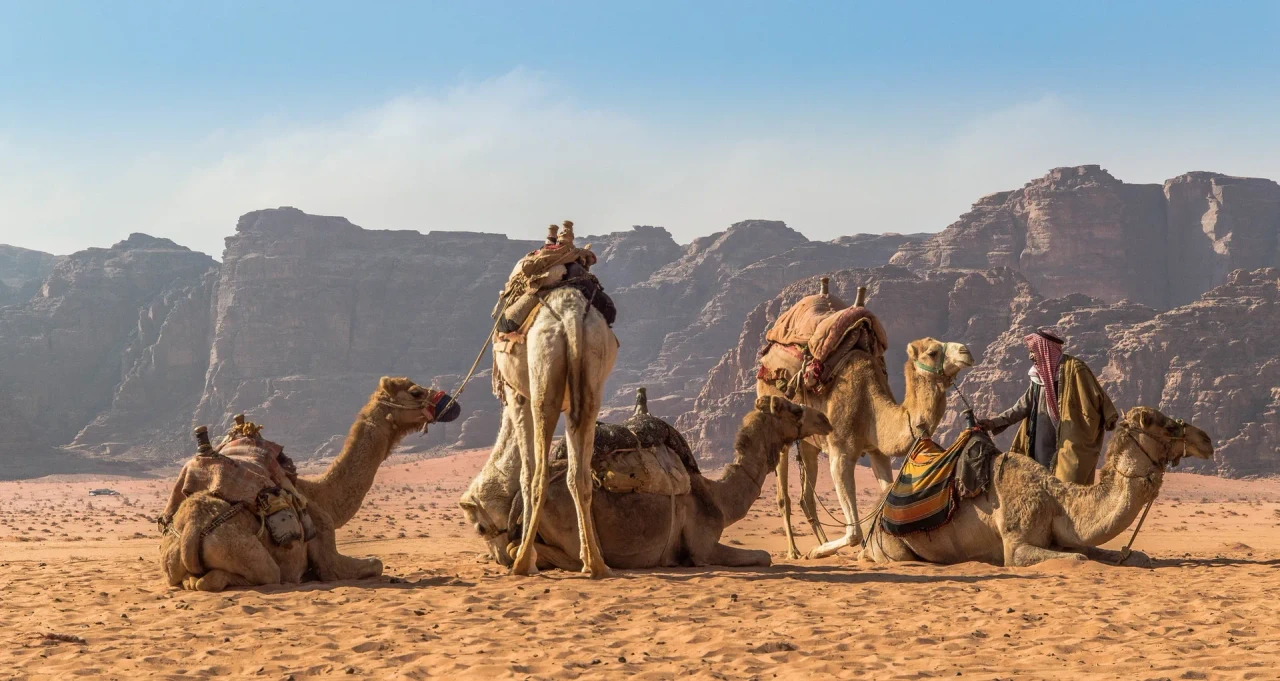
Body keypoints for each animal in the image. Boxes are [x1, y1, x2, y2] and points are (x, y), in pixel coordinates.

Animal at [160, 377, 447, 591]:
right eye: (416, 392)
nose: (446, 401)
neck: (319, 495)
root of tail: (192, 528)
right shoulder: (325, 539)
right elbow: (374, 563)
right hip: (246, 554)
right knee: (236, 578)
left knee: (189, 580)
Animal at [493, 285, 618, 578]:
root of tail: (570, 315)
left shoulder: (517, 395)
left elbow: (525, 475)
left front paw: (529, 559)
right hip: (591, 385)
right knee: (580, 478)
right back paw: (595, 563)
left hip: (543, 384)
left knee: (540, 475)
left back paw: (522, 562)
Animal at [759, 338, 974, 559]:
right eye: (932, 352)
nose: (966, 351)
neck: (870, 406)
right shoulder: (840, 453)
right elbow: (853, 533)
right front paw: (815, 551)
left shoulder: (877, 451)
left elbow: (885, 493)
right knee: (783, 497)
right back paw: (794, 551)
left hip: (809, 442)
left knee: (806, 497)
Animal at [860, 406, 1213, 566]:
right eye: (1167, 425)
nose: (1207, 440)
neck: (1057, 503)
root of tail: (875, 516)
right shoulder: (1015, 546)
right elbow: (1078, 559)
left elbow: (1127, 554)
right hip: (891, 549)